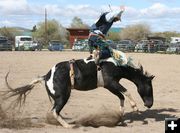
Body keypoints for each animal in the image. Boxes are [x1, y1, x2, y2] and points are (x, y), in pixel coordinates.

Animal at [2, 54, 155, 128]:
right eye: (149, 86)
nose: (150, 104)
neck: (115, 64)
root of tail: (46, 76)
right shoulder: (111, 82)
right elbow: (126, 91)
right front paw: (135, 108)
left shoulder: (109, 86)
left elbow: (121, 96)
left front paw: (120, 116)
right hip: (63, 96)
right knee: (55, 111)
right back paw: (68, 126)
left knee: (55, 111)